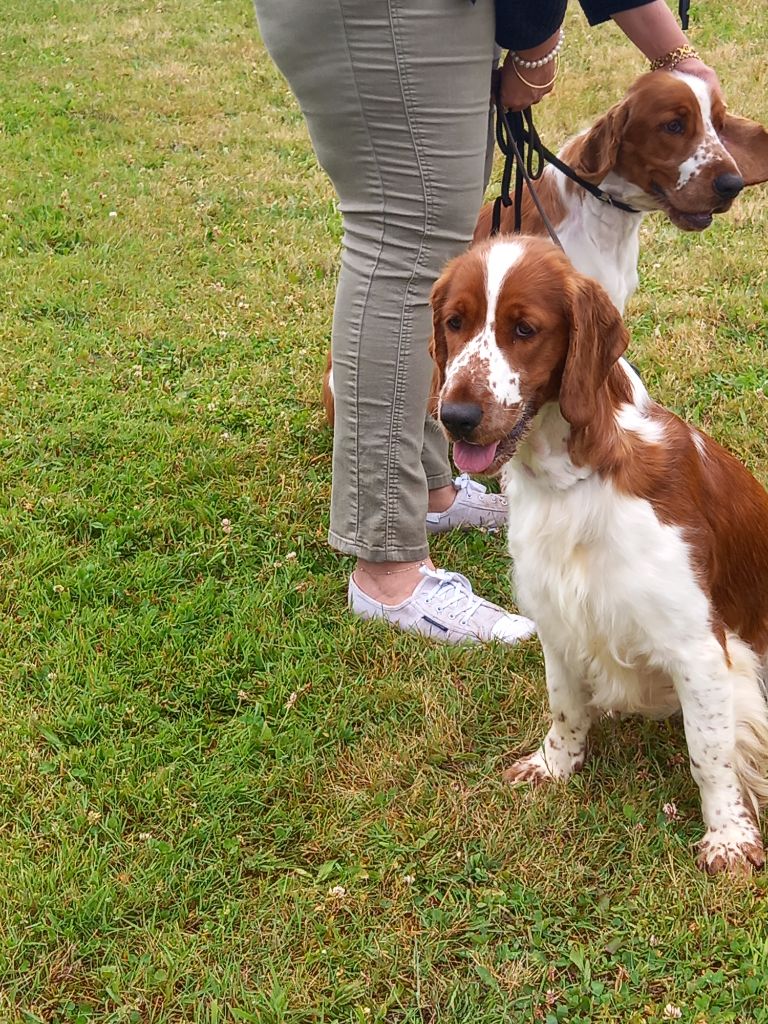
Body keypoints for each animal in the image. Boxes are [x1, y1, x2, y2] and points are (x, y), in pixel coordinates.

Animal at [430, 235, 768, 876]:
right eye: (454, 323)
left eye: (525, 329)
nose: (455, 417)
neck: (574, 478)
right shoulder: (558, 619)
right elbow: (565, 706)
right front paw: (554, 766)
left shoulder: (698, 646)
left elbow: (709, 751)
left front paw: (729, 837)